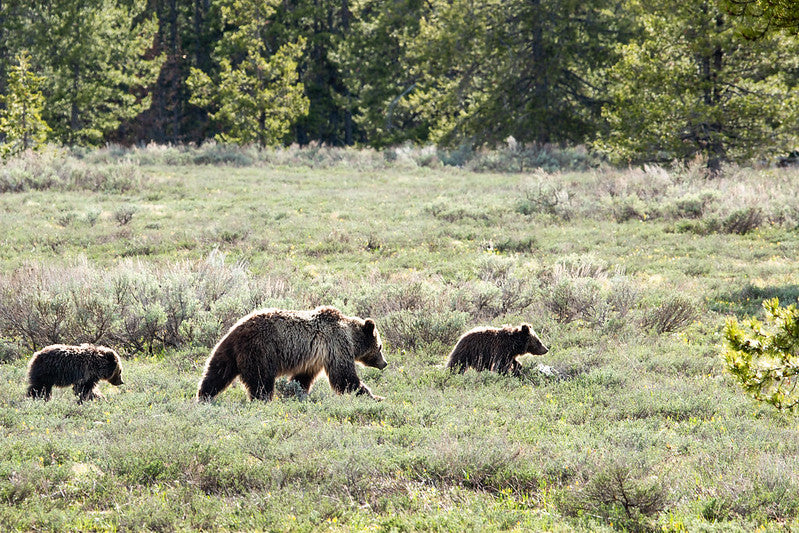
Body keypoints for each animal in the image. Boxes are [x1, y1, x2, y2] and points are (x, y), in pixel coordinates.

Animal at [198, 306, 390, 402]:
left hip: (228, 350)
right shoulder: (336, 346)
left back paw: (203, 396)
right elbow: (344, 378)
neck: (351, 338)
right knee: (261, 380)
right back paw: (263, 400)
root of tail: (237, 330)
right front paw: (375, 396)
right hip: (261, 350)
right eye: (380, 347)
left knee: (216, 372)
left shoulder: (314, 359)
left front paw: (296, 392)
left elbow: (302, 378)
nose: (384, 363)